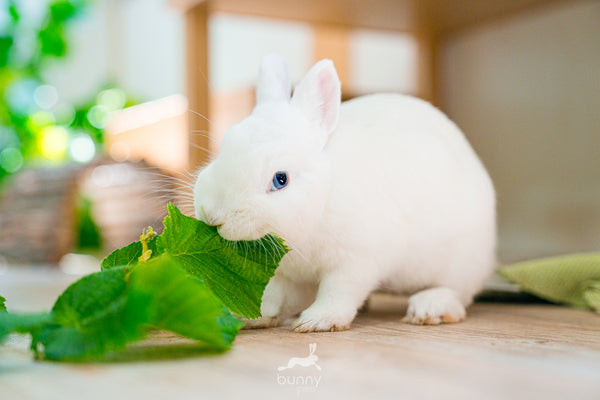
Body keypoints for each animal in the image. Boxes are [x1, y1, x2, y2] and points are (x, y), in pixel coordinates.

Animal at [193, 54, 496, 332]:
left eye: (280, 180)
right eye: (223, 149)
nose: (213, 215)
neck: (320, 202)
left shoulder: (355, 262)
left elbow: (338, 292)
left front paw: (318, 321)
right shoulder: (288, 276)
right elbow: (273, 296)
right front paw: (252, 316)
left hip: (460, 263)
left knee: (457, 293)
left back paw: (429, 308)